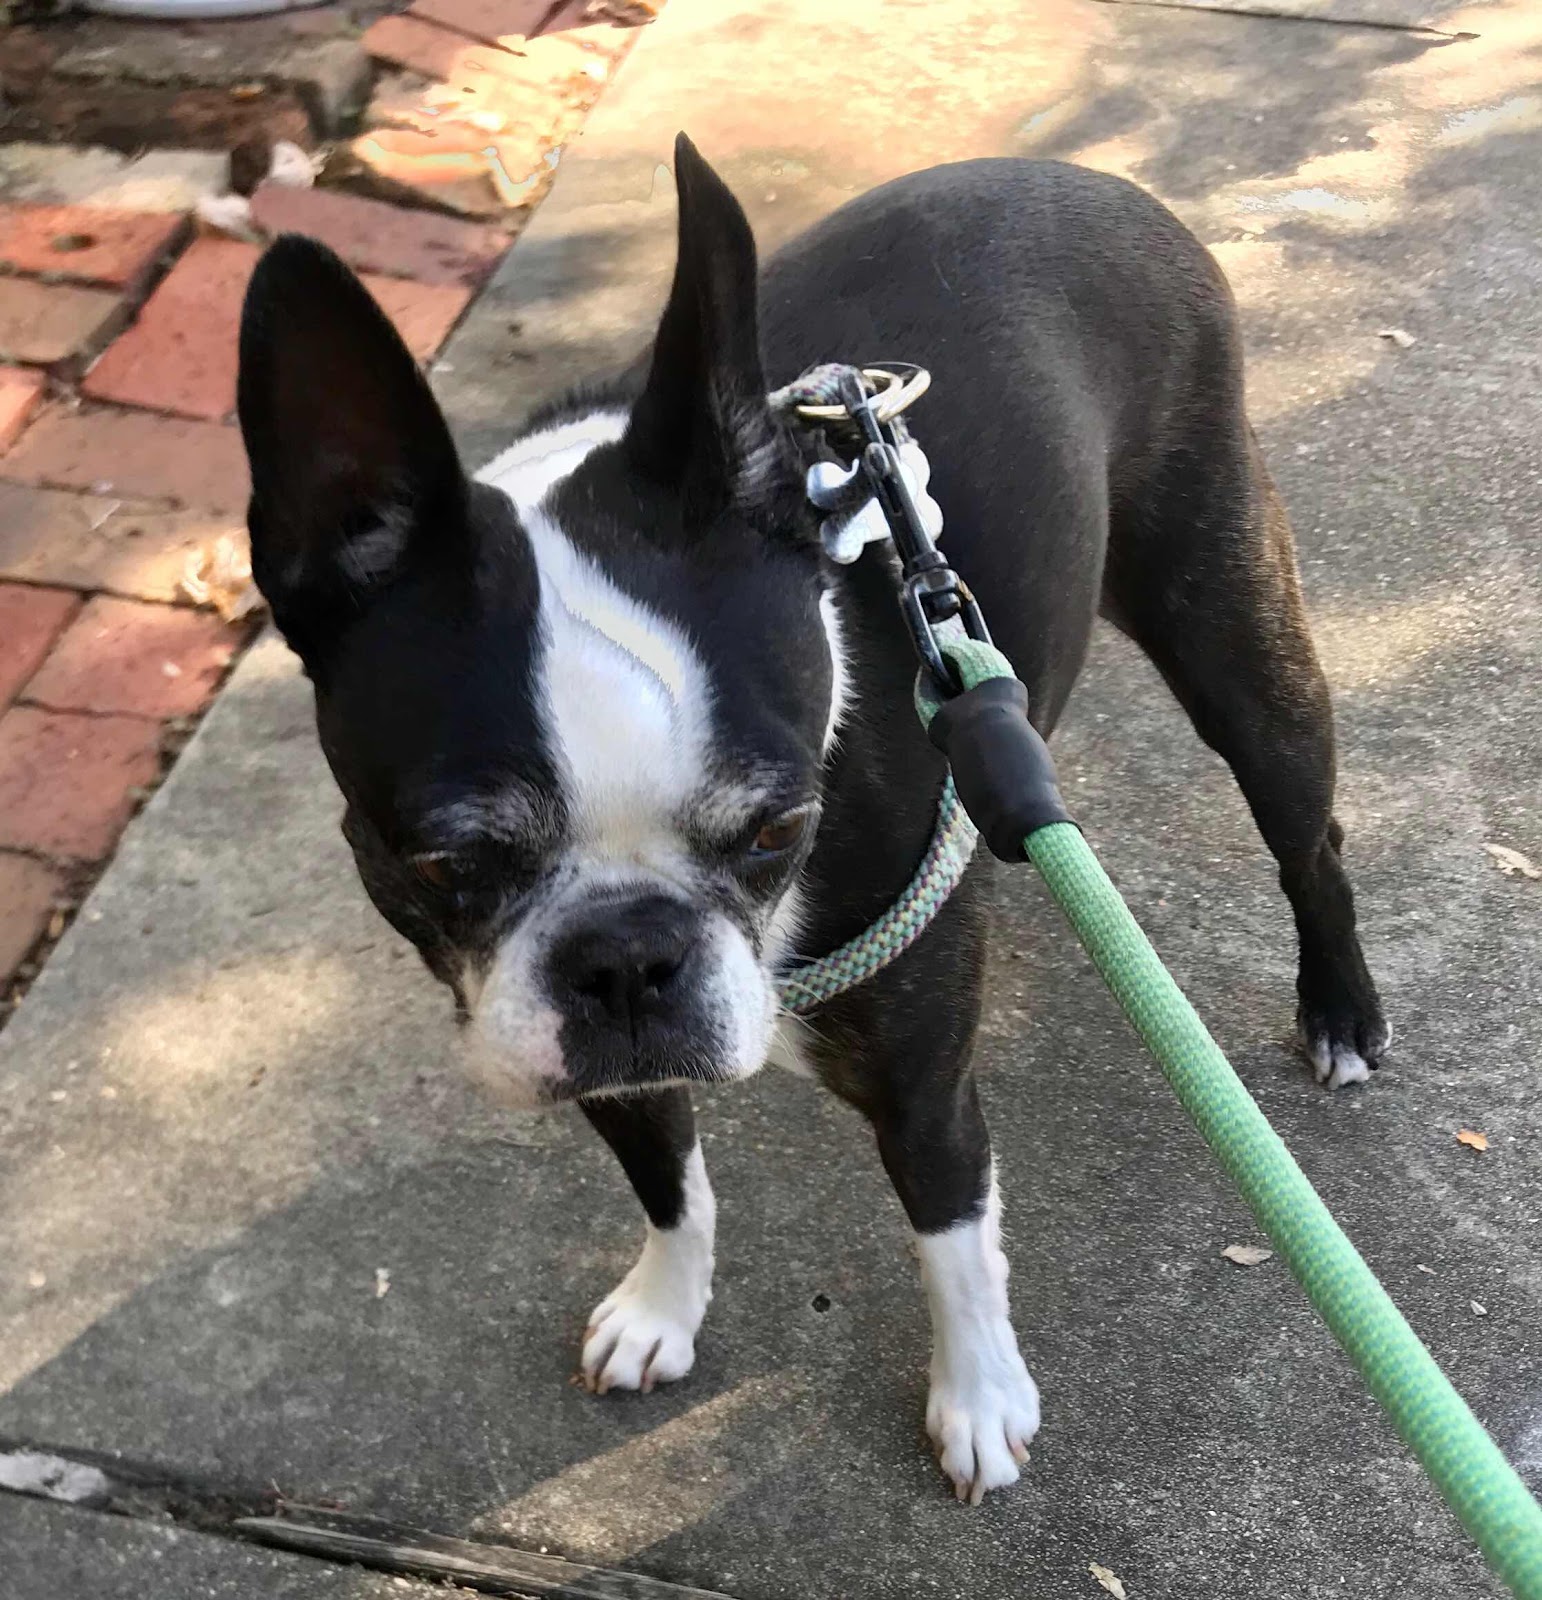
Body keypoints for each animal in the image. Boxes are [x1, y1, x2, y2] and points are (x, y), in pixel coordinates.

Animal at [236, 136, 1388, 1503]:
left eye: (779, 830)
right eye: (445, 861)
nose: (628, 958)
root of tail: (1088, 178)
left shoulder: (925, 1093)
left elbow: (952, 1236)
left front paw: (979, 1397)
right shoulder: (603, 1064)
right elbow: (669, 1184)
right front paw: (664, 1308)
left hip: (1232, 631)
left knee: (1306, 832)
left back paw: (1342, 1009)